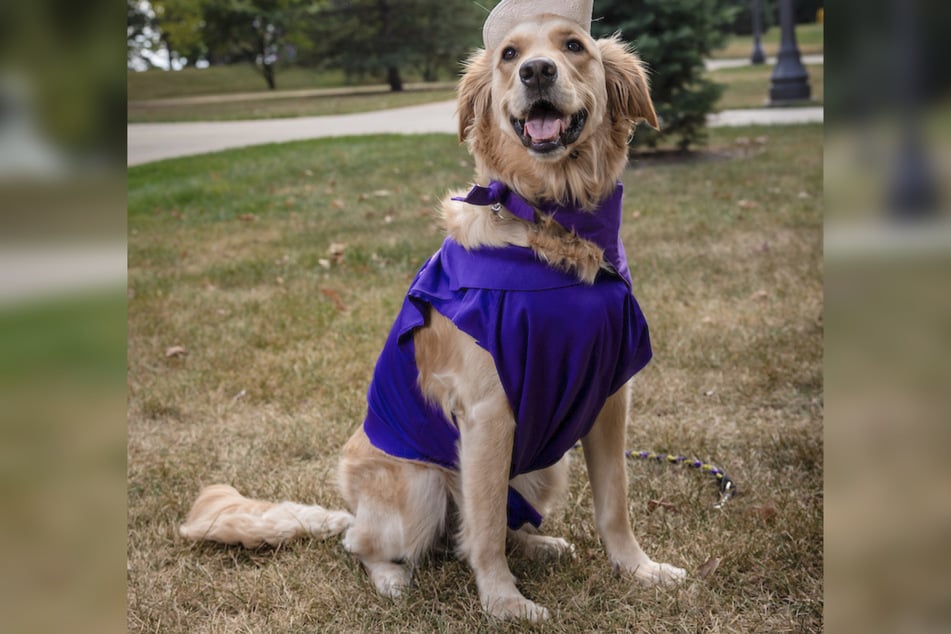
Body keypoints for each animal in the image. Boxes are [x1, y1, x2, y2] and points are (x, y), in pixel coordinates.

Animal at [180, 0, 684, 620]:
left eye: (574, 47)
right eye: (509, 55)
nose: (537, 72)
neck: (551, 221)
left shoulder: (611, 397)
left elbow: (614, 500)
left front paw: (638, 570)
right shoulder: (489, 411)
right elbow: (485, 526)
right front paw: (504, 603)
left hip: (548, 463)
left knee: (484, 528)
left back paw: (541, 545)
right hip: (419, 488)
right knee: (373, 541)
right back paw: (393, 579)